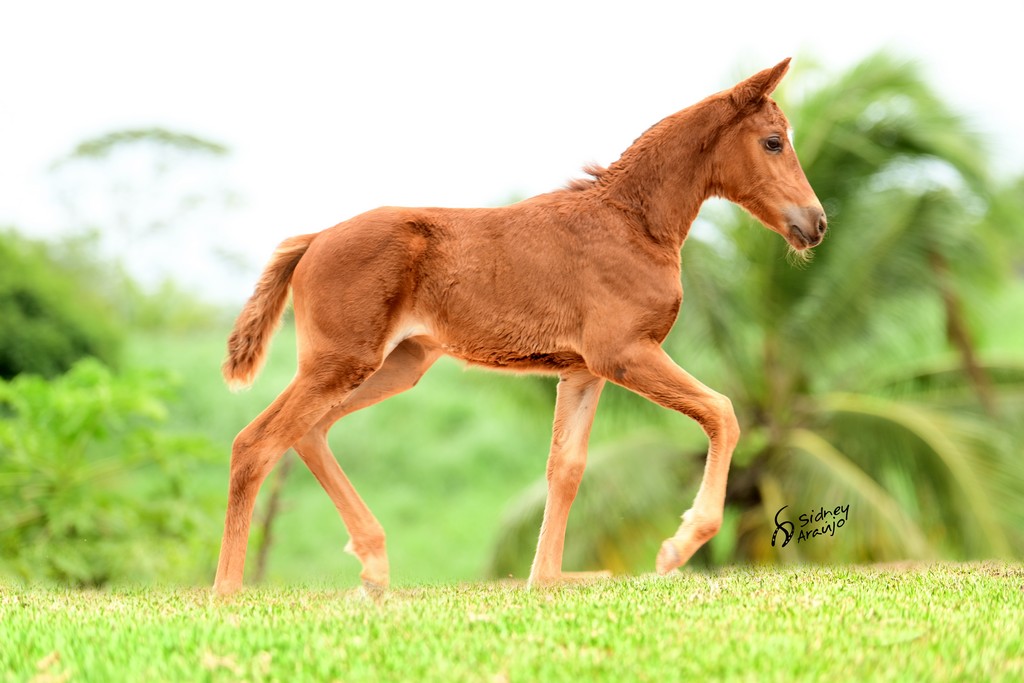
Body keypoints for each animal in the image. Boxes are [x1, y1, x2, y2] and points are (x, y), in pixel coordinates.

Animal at [214, 57, 823, 593]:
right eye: (773, 141)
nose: (815, 224)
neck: (633, 222)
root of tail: (314, 238)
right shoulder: (623, 353)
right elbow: (722, 411)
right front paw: (679, 544)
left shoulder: (583, 371)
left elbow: (567, 468)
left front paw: (547, 579)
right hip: (341, 361)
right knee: (255, 443)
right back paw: (227, 591)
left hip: (394, 365)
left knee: (307, 432)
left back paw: (374, 566)